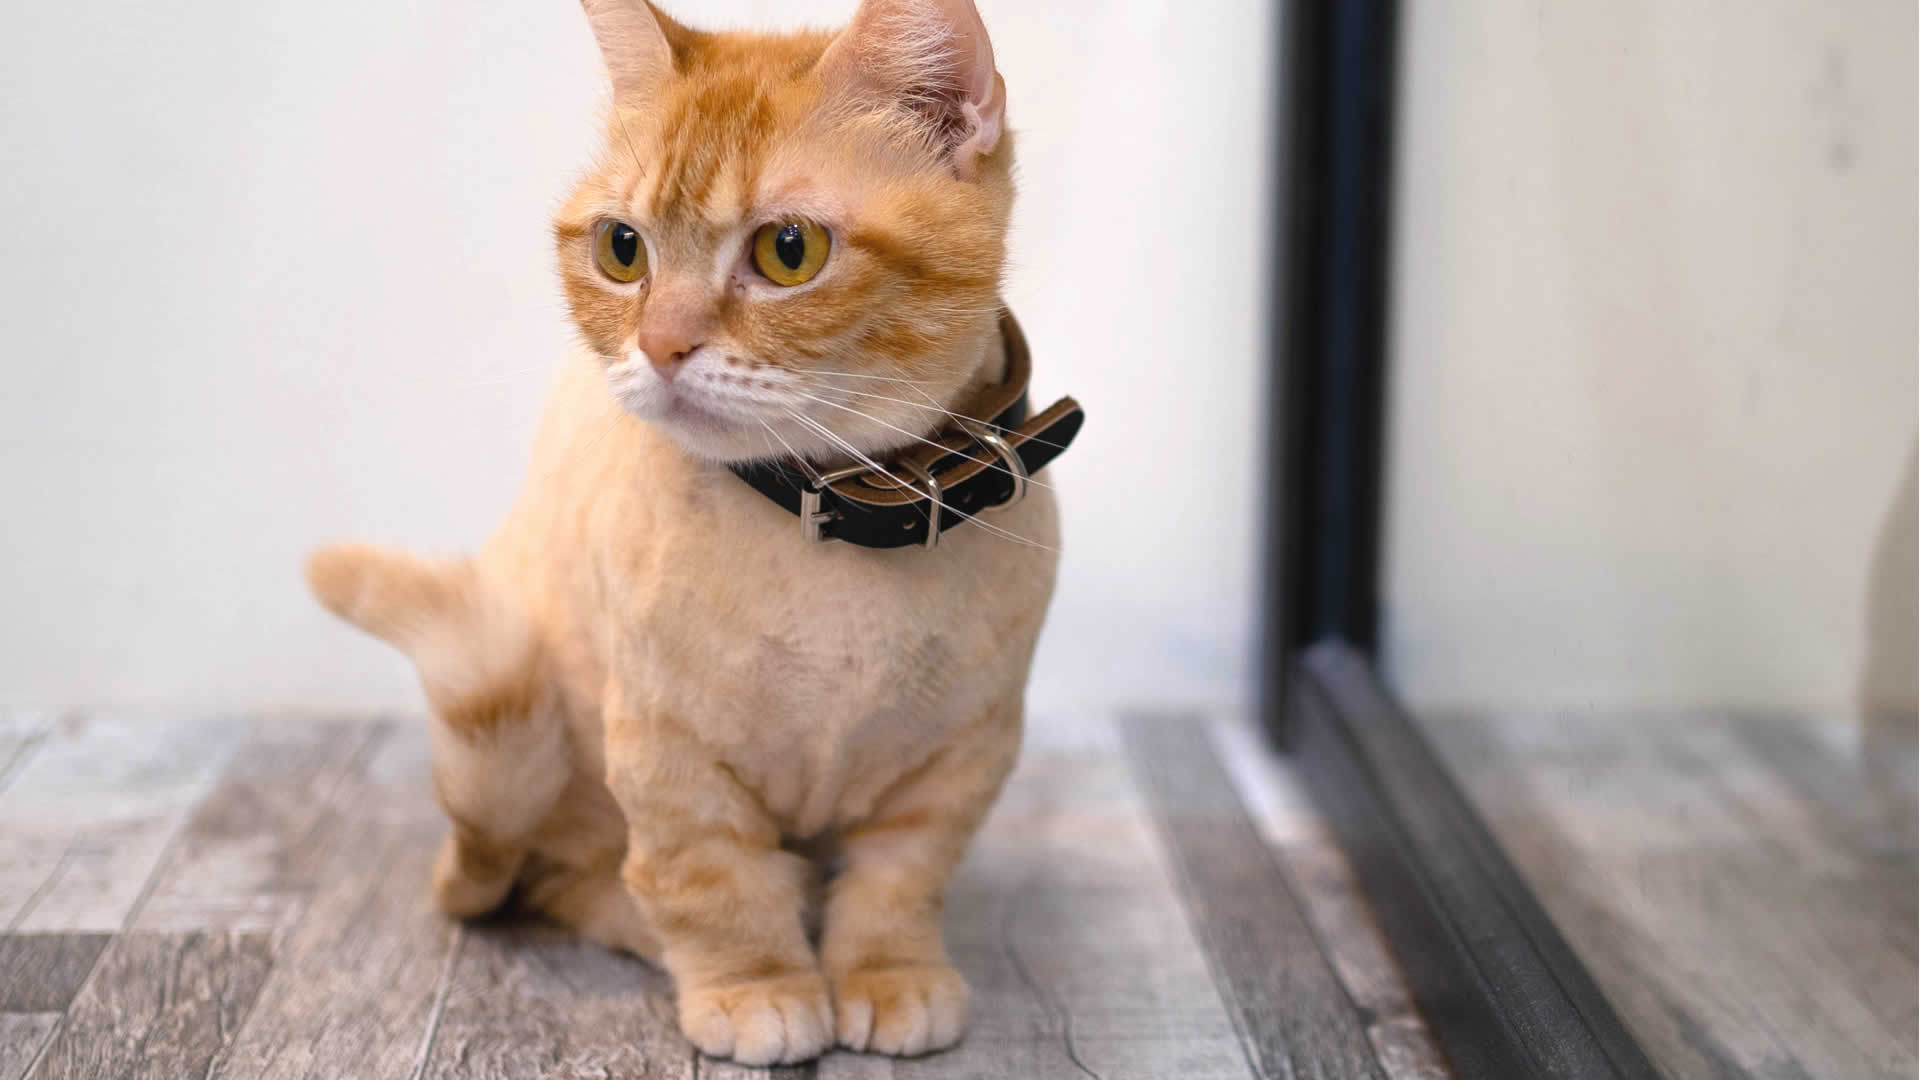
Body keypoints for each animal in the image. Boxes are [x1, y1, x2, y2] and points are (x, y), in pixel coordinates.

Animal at [305, 0, 1059, 1060]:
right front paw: (757, 987)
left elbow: (899, 883)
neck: (835, 558)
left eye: (789, 250)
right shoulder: (666, 753)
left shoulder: (959, 761)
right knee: (556, 878)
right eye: (624, 249)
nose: (660, 345)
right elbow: (709, 884)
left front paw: (887, 972)